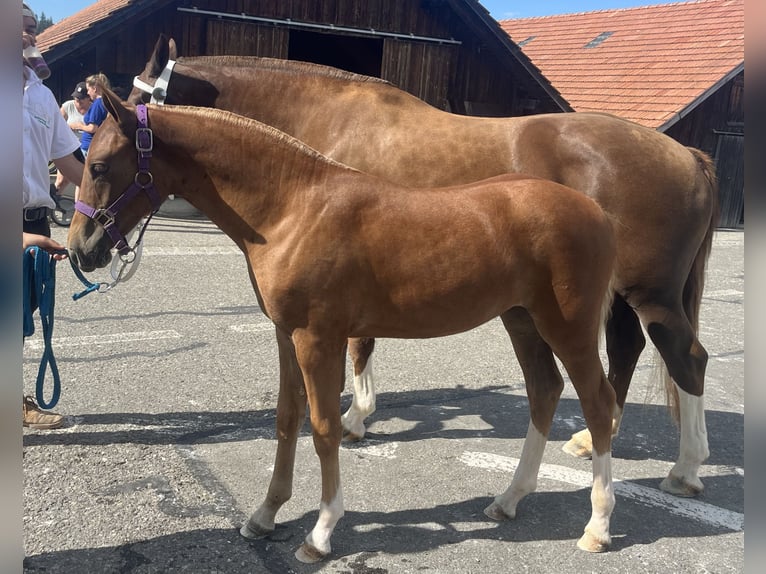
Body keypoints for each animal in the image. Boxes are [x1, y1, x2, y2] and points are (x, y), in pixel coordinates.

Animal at [69, 92, 620, 564]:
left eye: (99, 166)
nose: (79, 249)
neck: (292, 208)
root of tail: (597, 211)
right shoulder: (286, 335)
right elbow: (287, 419)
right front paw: (265, 515)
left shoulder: (317, 339)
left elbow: (324, 427)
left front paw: (320, 532)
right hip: (521, 321)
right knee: (544, 391)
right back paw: (509, 499)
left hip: (567, 327)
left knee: (597, 404)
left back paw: (596, 526)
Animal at [129, 36, 724, 498]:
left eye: (133, 103)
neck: (328, 123)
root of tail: (688, 156)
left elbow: (359, 346)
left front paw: (355, 418)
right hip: (623, 292)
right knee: (627, 351)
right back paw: (594, 439)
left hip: (650, 293)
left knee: (685, 357)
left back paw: (686, 468)